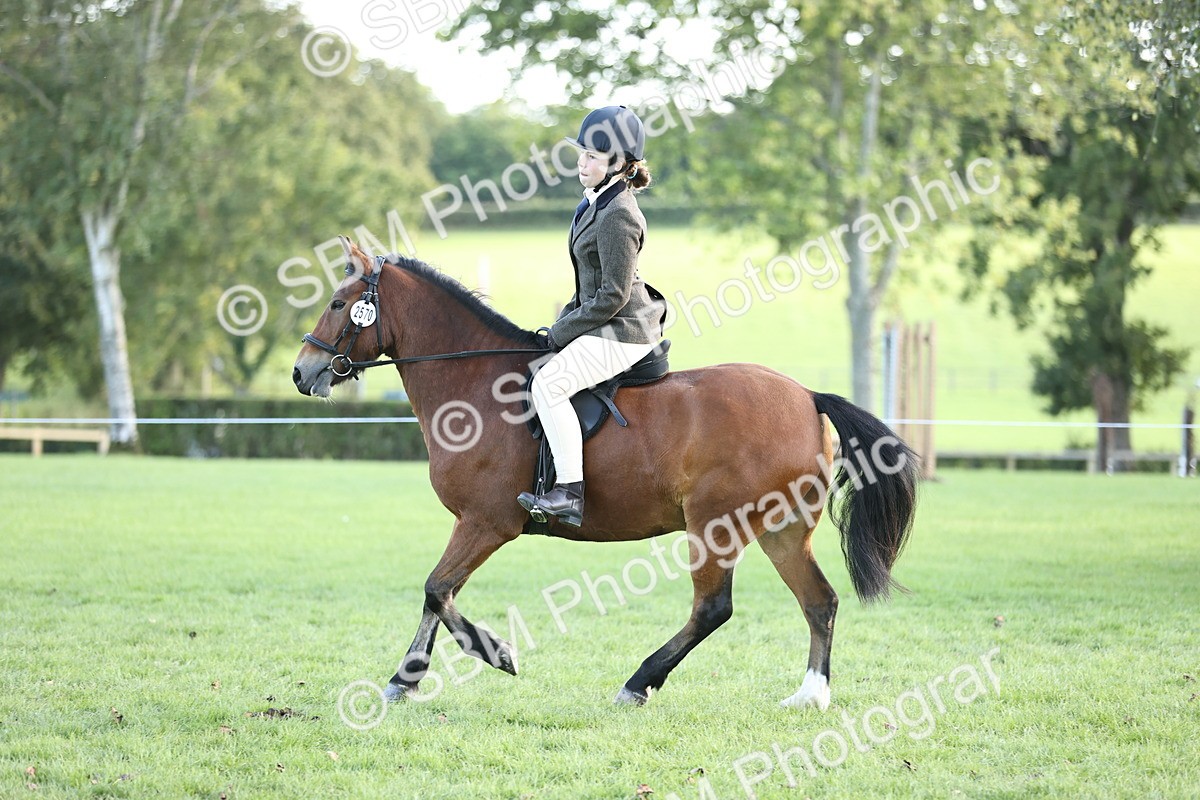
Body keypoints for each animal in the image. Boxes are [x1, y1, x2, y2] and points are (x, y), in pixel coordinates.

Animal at [292, 237, 918, 710]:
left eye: (337, 303)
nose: (302, 372)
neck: (474, 382)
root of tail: (807, 397)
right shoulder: (475, 524)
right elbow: (436, 595)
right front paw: (404, 681)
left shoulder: (487, 522)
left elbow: (436, 588)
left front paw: (495, 653)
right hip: (781, 530)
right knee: (819, 602)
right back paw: (810, 696)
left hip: (715, 525)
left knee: (713, 609)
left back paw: (638, 684)